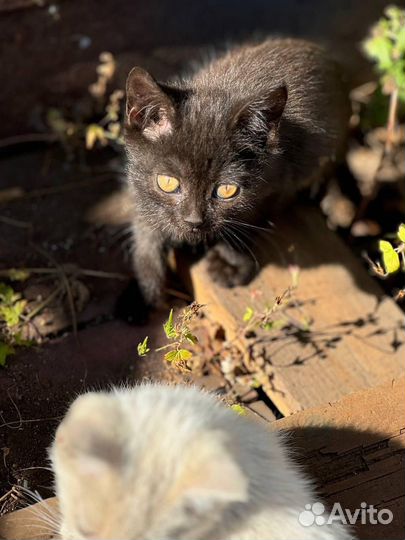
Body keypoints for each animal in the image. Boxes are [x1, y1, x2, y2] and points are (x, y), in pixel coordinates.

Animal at [123, 38, 348, 308]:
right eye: (167, 182)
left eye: (226, 190)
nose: (193, 220)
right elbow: (145, 217)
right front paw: (148, 281)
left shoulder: (279, 182)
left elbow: (250, 218)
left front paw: (230, 262)